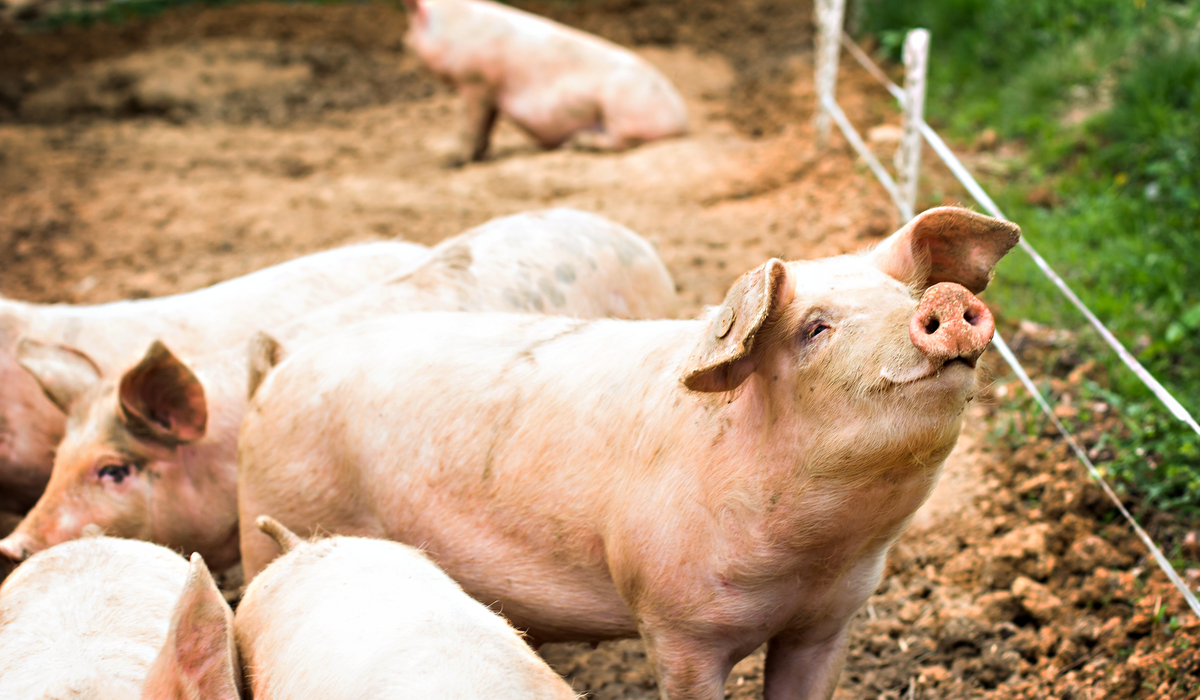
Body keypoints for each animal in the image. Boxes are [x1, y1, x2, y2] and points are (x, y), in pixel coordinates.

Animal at [403, 0, 688, 165]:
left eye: (410, 28)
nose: (402, 41)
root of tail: (682, 120)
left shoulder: (476, 80)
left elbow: (469, 124)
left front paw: (452, 161)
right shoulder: (491, 90)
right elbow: (486, 126)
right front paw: (481, 156)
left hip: (622, 105)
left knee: (623, 141)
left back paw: (575, 143)